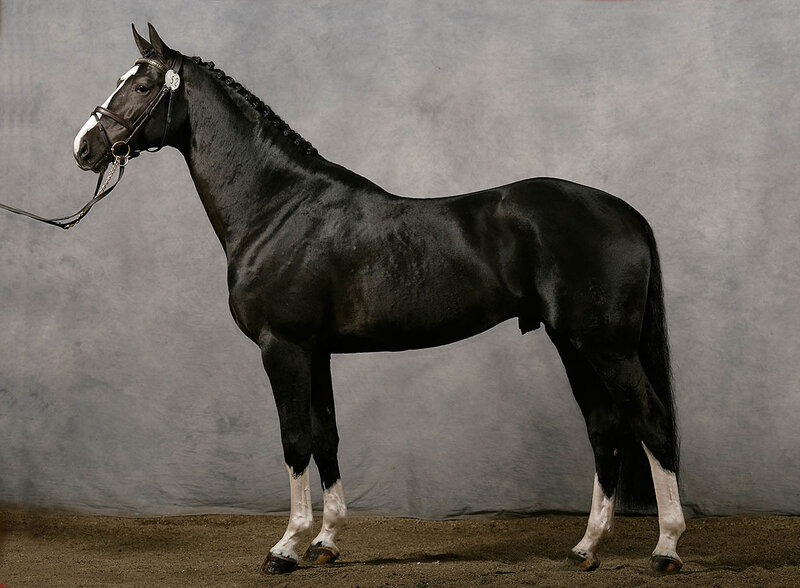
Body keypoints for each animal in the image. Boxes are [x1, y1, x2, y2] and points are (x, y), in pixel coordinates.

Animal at [72, 24, 686, 575]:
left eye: (143, 85)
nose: (84, 147)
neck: (277, 207)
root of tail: (625, 212)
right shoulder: (315, 352)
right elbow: (326, 438)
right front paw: (324, 543)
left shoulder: (283, 348)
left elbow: (295, 440)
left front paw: (286, 547)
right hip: (572, 342)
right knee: (605, 428)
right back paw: (586, 548)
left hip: (604, 346)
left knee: (651, 422)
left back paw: (666, 549)